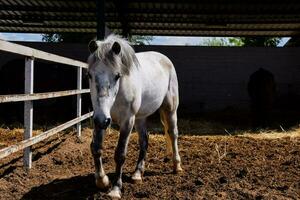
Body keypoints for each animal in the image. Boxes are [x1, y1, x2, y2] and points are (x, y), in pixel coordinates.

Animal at [87, 34, 183, 198]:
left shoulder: (127, 121)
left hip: (170, 109)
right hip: (140, 117)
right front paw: (102, 181)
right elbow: (96, 148)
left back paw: (177, 166)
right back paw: (137, 174)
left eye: (117, 76)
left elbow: (120, 154)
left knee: (173, 134)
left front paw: (115, 189)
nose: (102, 120)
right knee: (144, 140)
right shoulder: (100, 118)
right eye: (90, 75)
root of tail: (164, 59)